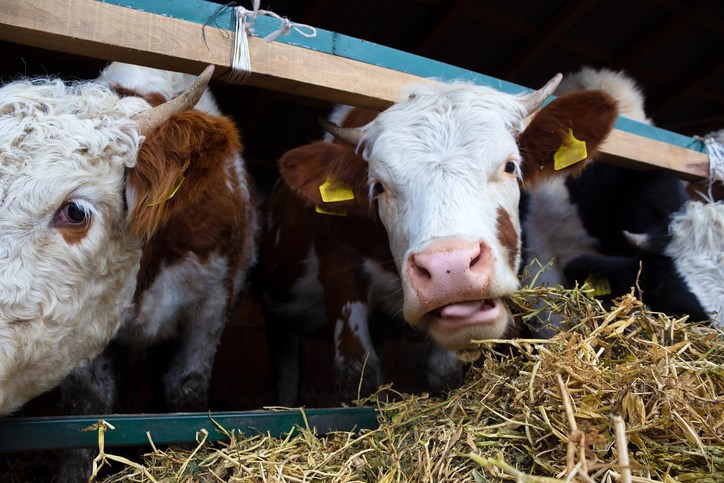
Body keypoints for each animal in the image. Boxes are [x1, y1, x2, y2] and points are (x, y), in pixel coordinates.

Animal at [258, 78, 620, 404]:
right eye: (379, 187)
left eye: (510, 166)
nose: (451, 268)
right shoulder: (338, 269)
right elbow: (358, 371)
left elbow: (442, 372)